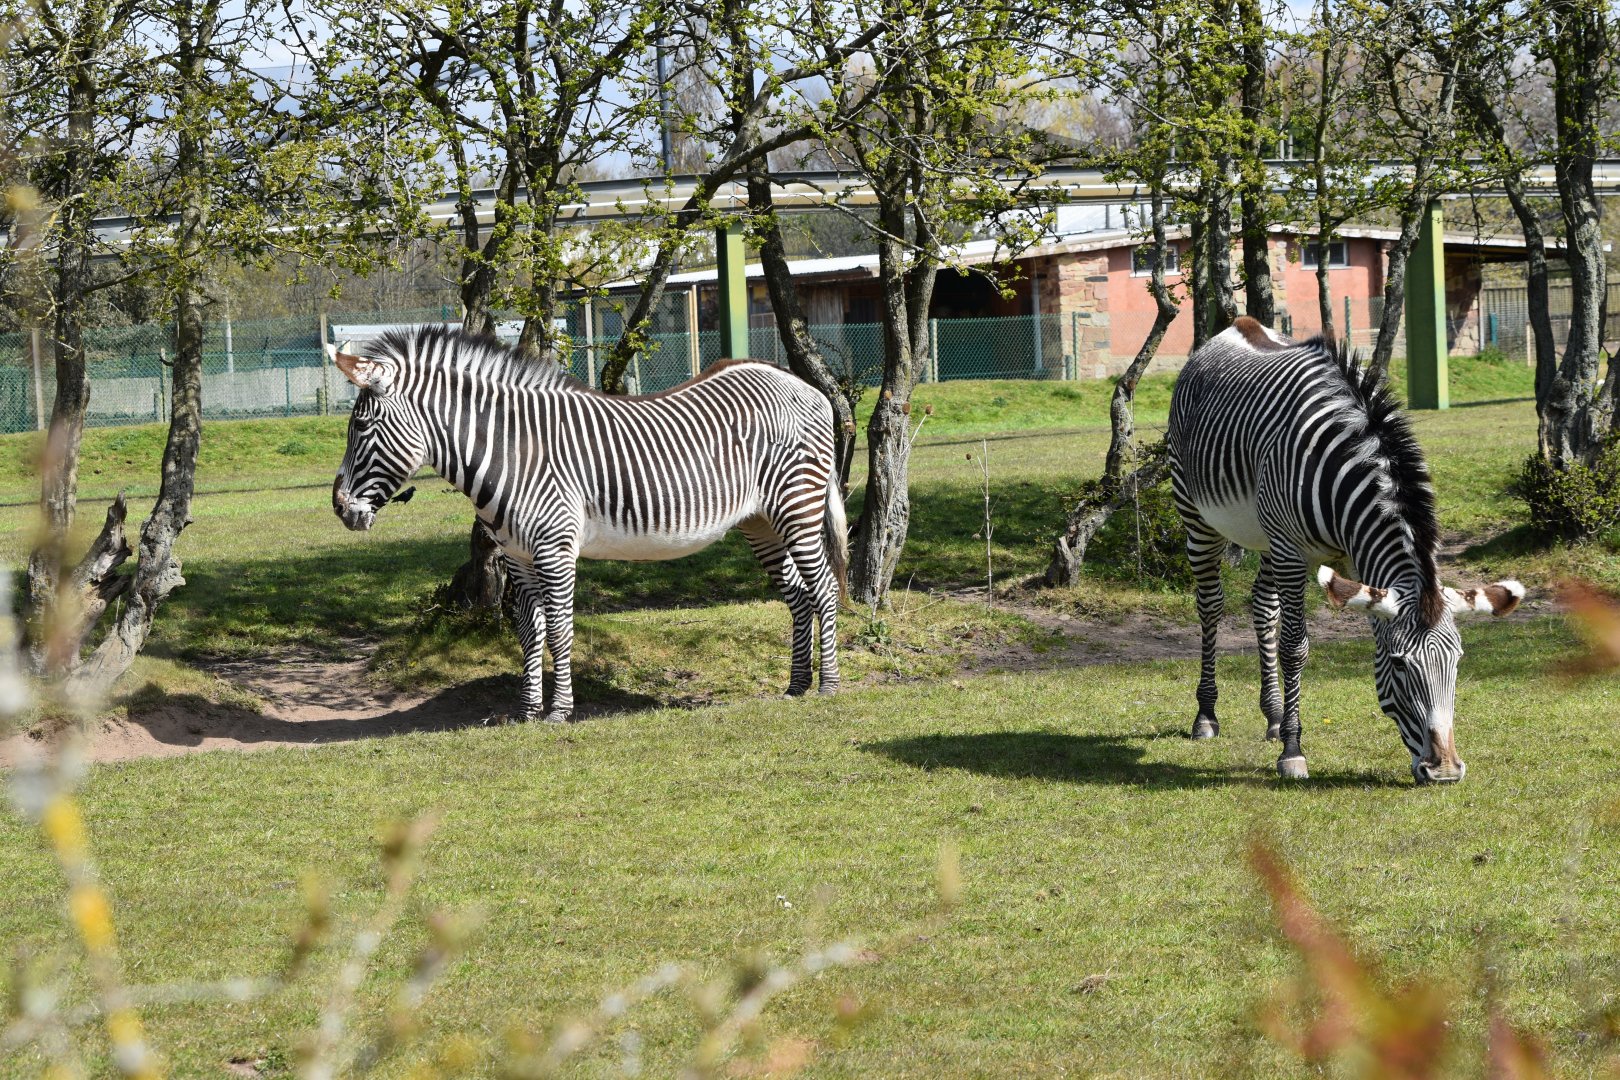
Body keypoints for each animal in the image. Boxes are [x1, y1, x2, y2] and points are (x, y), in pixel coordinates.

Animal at [326, 326, 846, 723]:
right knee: (799, 596)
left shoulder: (554, 549)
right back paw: (796, 686)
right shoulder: (518, 557)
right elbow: (529, 630)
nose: (339, 508)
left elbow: (560, 629)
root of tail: (805, 386)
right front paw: (527, 710)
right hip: (761, 523)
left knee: (823, 589)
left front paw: (559, 711)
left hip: (798, 506)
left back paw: (830, 687)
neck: (513, 451)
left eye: (362, 428)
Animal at [1166, 317, 1523, 783]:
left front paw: (1284, 731)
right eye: (1399, 664)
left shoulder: (1347, 555)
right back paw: (1207, 715)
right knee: (1210, 605)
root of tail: (1239, 325)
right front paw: (1293, 752)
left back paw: (1273, 716)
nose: (1445, 771)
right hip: (1198, 515)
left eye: (1458, 661)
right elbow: (1295, 647)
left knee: (1262, 606)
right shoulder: (1291, 551)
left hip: (1266, 534)